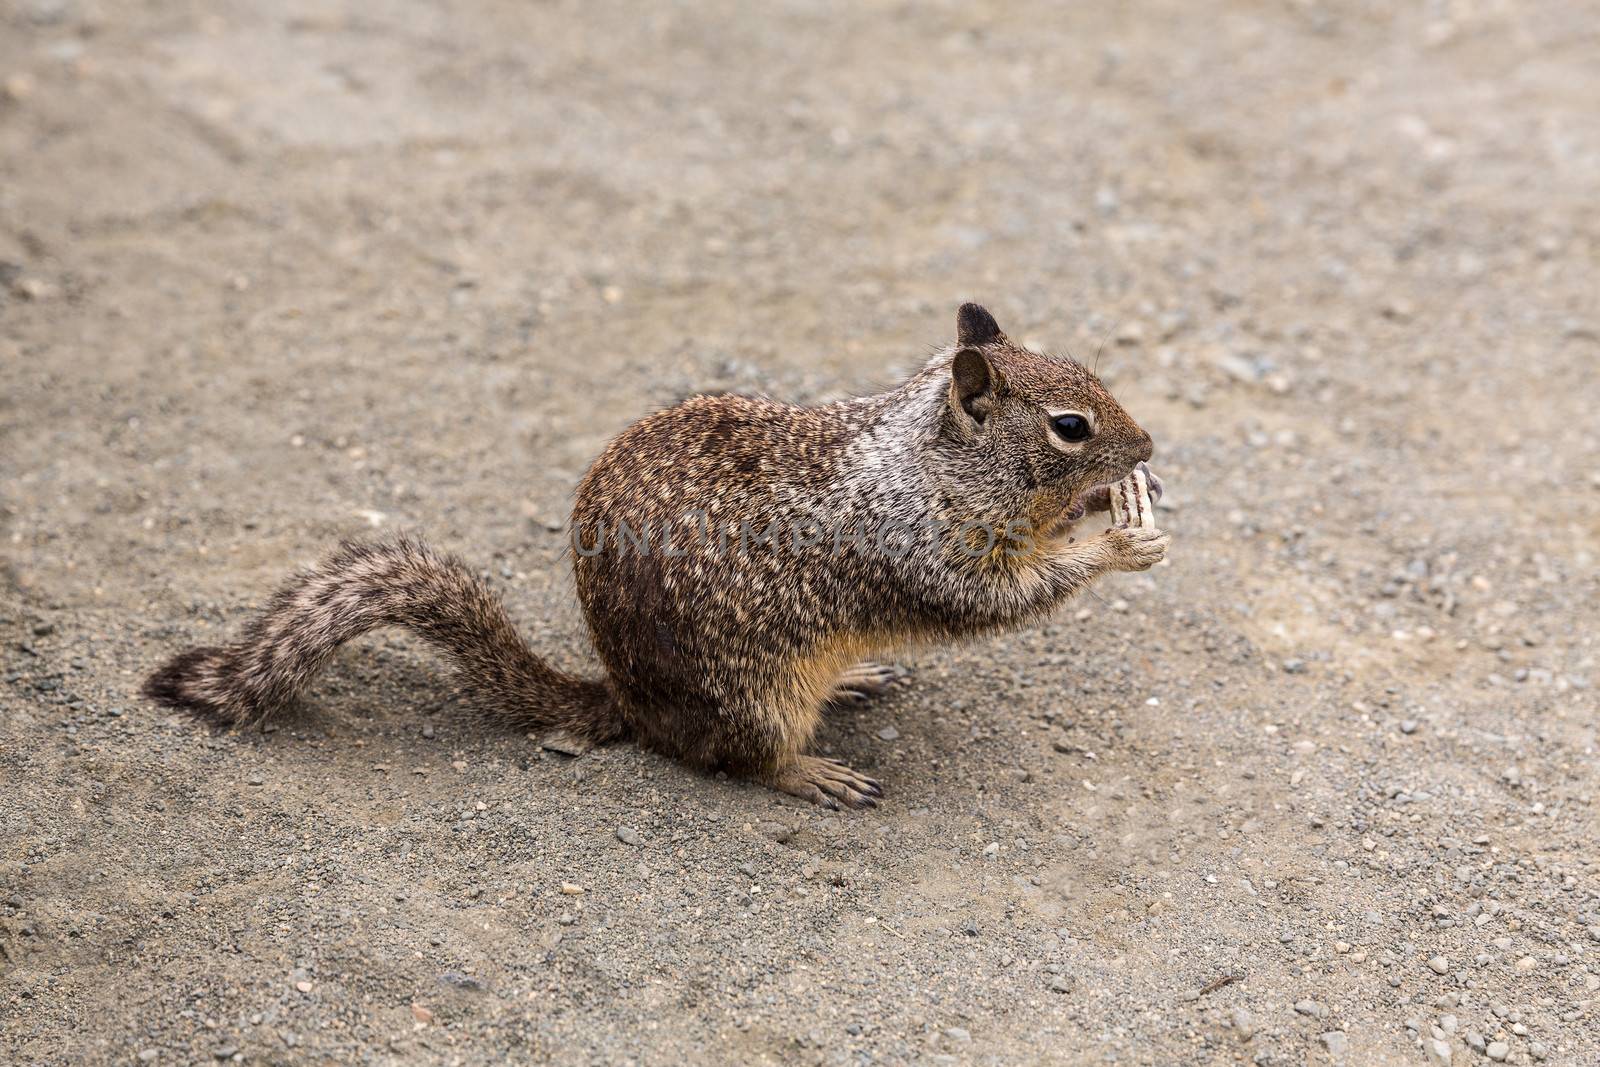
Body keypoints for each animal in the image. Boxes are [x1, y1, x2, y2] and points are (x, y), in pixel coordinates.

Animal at [144, 303, 1171, 812]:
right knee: (735, 761)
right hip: (756, 692)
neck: (922, 459)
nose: (1152, 442)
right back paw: (812, 773)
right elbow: (996, 600)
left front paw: (1118, 502)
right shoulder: (920, 549)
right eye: (1070, 425)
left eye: (1093, 373)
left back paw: (853, 679)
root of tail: (628, 700)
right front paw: (1118, 536)